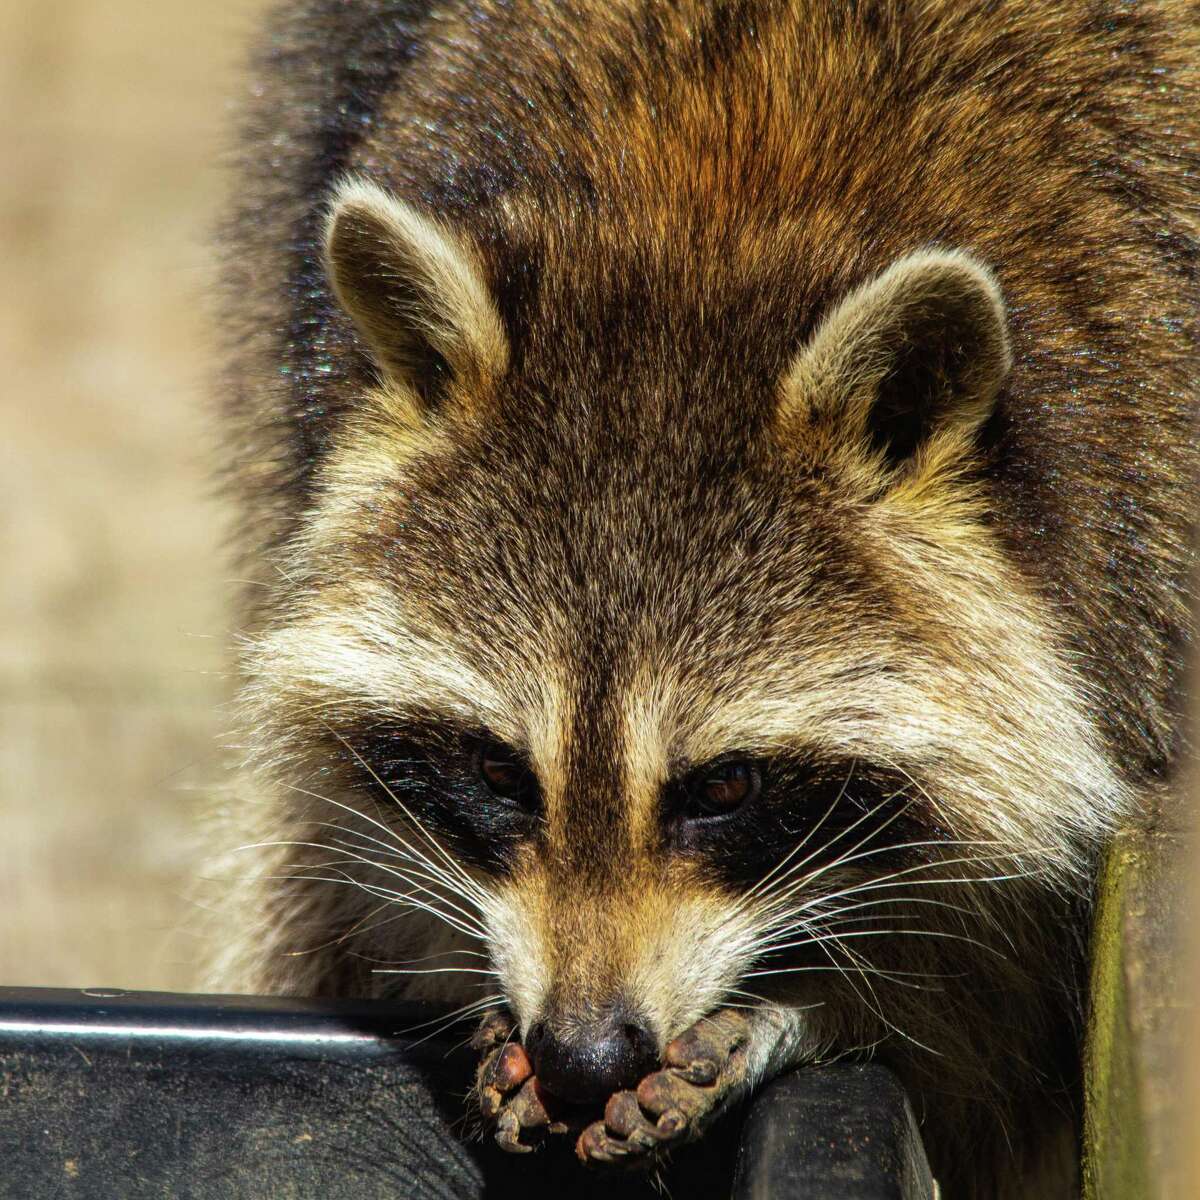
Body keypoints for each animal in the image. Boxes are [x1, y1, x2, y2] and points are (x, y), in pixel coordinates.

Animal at [212, 2, 1199, 1197]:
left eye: (724, 788)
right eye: (499, 775)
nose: (583, 1053)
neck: (706, 226)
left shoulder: (1140, 547)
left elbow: (997, 1014)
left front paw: (817, 1009)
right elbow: (349, 858)